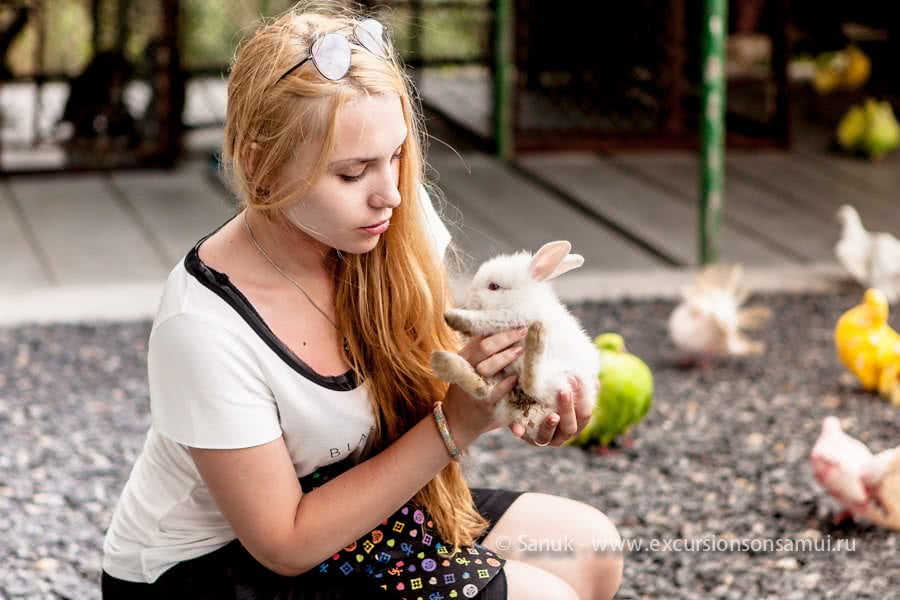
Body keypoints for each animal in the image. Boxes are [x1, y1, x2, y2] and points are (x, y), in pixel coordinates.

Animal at [432, 239, 600, 440]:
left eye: (494, 287)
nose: (470, 300)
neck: (523, 299)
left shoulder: (513, 317)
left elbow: (488, 319)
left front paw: (457, 318)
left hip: (560, 383)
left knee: (532, 384)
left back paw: (536, 339)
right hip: (503, 384)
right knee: (483, 389)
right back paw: (442, 361)